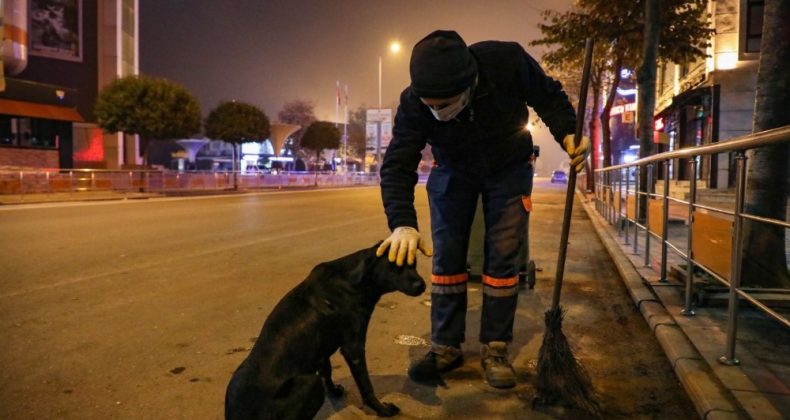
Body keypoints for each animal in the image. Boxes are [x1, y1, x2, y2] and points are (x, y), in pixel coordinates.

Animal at [227, 244, 426, 418]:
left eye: (414, 262)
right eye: (395, 266)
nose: (422, 285)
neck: (353, 281)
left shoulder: (321, 351)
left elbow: (327, 371)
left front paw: (334, 391)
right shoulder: (353, 348)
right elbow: (366, 385)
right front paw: (381, 409)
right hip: (310, 383)